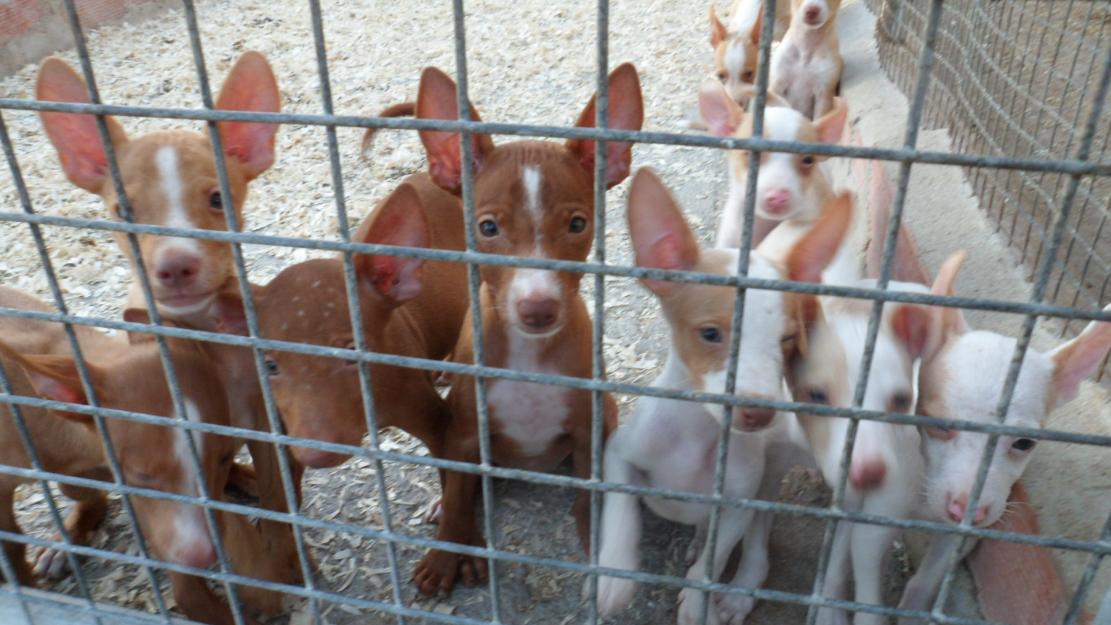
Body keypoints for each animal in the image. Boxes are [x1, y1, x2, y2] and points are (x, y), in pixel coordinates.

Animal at [599, 168, 848, 625]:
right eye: (711, 334)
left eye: (786, 340)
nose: (759, 414)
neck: (698, 436)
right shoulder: (618, 453)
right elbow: (621, 510)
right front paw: (615, 577)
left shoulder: (737, 505)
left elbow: (714, 560)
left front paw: (697, 601)